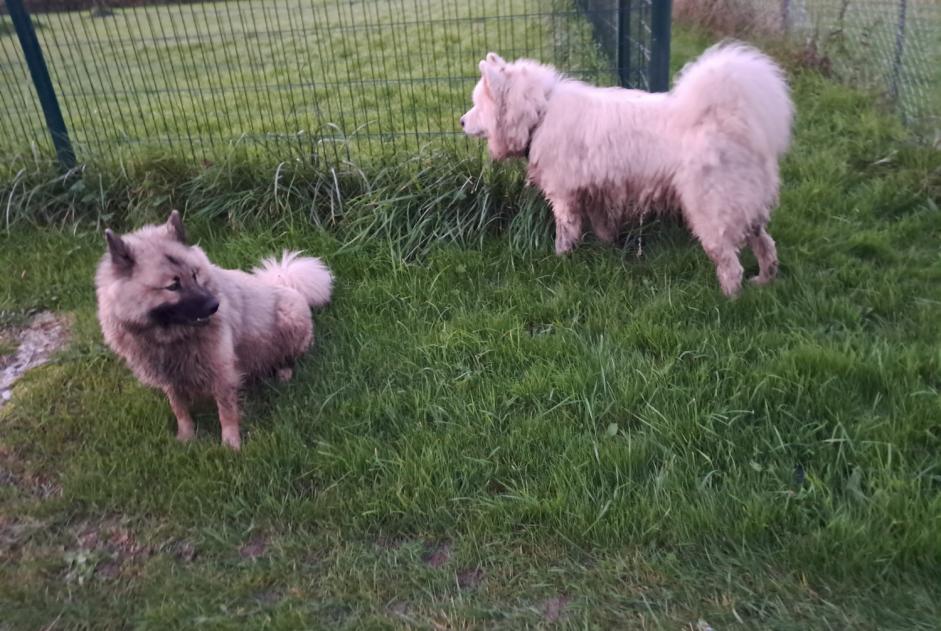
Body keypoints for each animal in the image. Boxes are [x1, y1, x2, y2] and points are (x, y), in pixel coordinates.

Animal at [462, 44, 792, 296]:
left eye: (477, 104)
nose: (461, 121)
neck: (539, 113)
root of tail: (732, 119)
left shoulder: (564, 196)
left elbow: (565, 232)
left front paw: (560, 259)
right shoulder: (596, 191)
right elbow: (603, 227)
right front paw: (608, 250)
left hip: (711, 213)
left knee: (731, 264)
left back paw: (729, 299)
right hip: (746, 208)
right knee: (767, 246)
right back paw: (764, 281)